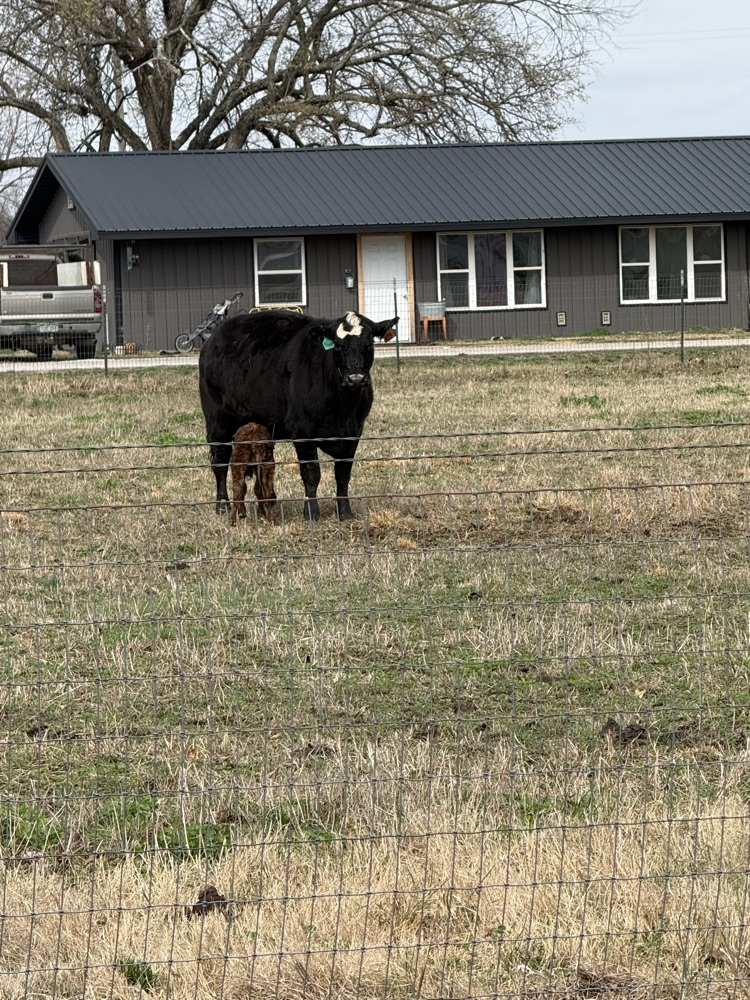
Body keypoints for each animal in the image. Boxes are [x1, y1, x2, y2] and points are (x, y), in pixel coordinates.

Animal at [199, 308, 397, 520]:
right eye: (337, 345)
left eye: (369, 344)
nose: (356, 379)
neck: (344, 408)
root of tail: (213, 338)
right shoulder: (303, 431)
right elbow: (311, 473)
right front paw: (312, 512)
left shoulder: (354, 432)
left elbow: (343, 474)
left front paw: (345, 512)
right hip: (217, 422)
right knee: (220, 463)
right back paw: (223, 505)